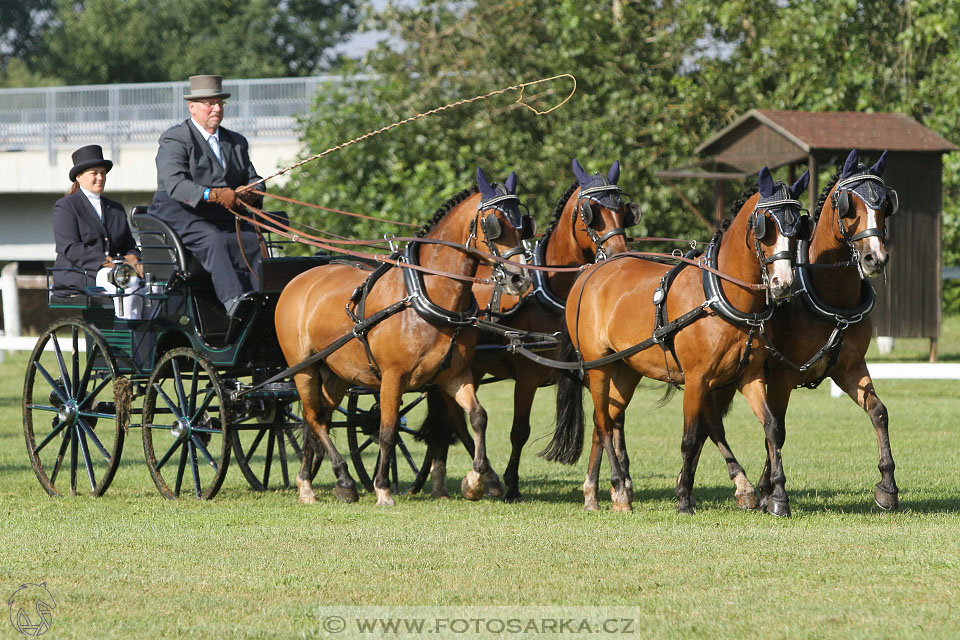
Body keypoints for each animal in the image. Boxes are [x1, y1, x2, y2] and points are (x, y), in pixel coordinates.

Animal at [276, 168, 532, 508]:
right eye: (493, 224)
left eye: (522, 223)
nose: (520, 279)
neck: (426, 296)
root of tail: (299, 280)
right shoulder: (392, 378)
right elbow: (387, 430)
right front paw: (383, 488)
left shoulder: (454, 375)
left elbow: (478, 417)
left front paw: (476, 480)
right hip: (303, 368)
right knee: (314, 417)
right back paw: (331, 480)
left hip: (336, 373)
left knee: (318, 416)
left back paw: (320, 480)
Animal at [416, 159, 640, 500]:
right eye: (591, 212)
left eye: (624, 210)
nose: (618, 255)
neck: (552, 293)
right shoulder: (527, 375)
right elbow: (519, 431)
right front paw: (511, 485)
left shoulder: (591, 366)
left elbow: (613, 420)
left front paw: (623, 480)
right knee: (455, 417)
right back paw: (488, 480)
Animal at [540, 166, 808, 516]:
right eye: (765, 226)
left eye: (798, 226)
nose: (783, 283)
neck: (720, 294)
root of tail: (589, 272)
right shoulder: (697, 379)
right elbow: (691, 438)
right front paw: (683, 498)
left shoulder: (749, 377)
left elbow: (772, 429)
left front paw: (777, 498)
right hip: (599, 367)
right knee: (602, 421)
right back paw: (618, 489)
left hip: (625, 370)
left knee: (608, 420)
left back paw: (593, 493)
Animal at [756, 150, 900, 516]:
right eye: (849, 205)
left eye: (885, 205)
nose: (874, 258)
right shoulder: (781, 376)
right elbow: (776, 428)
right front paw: (771, 491)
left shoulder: (849, 367)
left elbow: (878, 412)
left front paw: (887, 486)